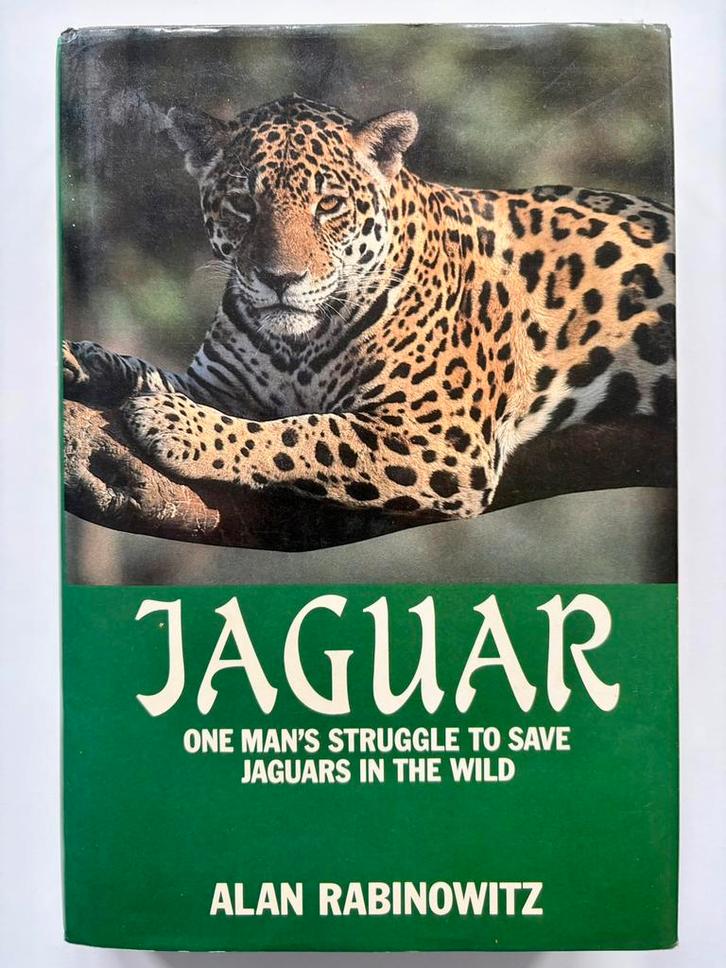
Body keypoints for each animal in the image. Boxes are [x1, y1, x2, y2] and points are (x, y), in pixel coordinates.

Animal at [64, 94, 676, 522]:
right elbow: (150, 372)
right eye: (242, 204)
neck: (297, 344)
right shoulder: (218, 385)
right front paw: (83, 360)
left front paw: (177, 425)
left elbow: (305, 432)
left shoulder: (439, 439)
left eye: (329, 204)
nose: (280, 279)